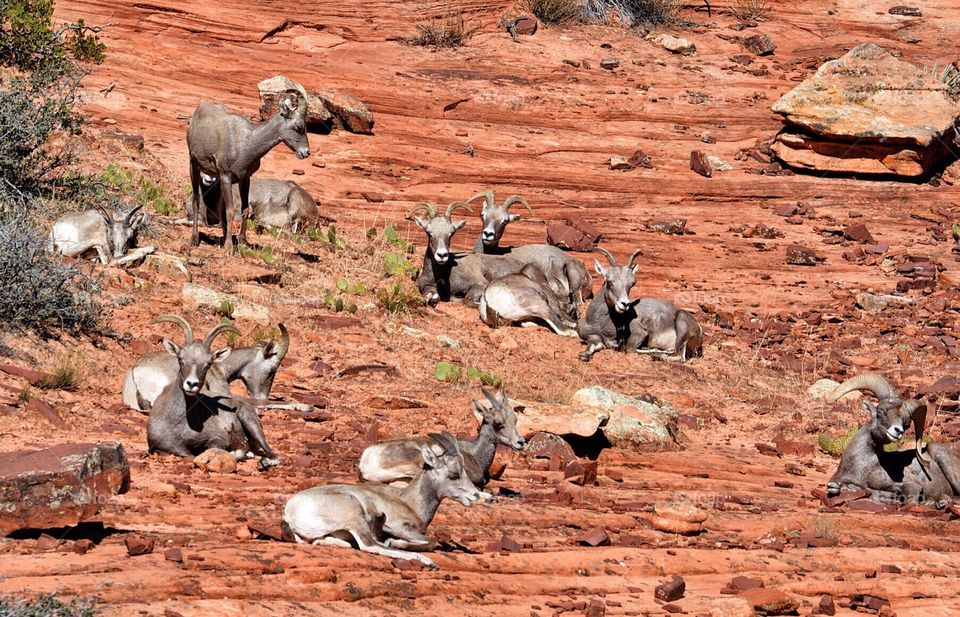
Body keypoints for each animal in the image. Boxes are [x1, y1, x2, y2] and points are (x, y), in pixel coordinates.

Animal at [146, 315, 280, 470]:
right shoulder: (163, 448)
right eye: (180, 359)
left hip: (250, 422)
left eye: (208, 364)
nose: (191, 384)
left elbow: (213, 448)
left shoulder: (218, 437)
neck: (179, 424)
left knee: (273, 454)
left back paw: (262, 462)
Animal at [187, 85, 310, 254]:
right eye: (299, 127)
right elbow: (230, 211)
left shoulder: (245, 179)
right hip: (194, 165)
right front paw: (228, 249)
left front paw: (242, 242)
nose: (306, 152)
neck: (246, 143)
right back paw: (194, 240)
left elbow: (244, 210)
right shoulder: (226, 176)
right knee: (196, 199)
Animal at [282, 432, 483, 568]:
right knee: (371, 545)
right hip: (355, 516)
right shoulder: (400, 527)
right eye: (454, 474)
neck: (409, 501)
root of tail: (289, 513)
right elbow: (431, 542)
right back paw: (427, 561)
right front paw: (394, 542)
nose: (475, 495)